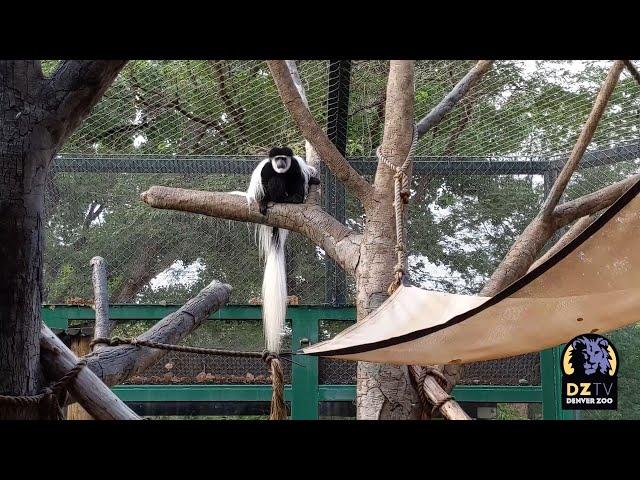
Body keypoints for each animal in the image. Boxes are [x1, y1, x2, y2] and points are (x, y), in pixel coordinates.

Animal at [245, 146, 320, 352]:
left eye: (283, 159)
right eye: (277, 158)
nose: (279, 163)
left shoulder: (294, 165)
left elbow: (300, 177)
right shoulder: (266, 169)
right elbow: (266, 180)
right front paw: (263, 202)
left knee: (296, 180)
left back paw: (294, 198)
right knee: (274, 182)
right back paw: (274, 200)